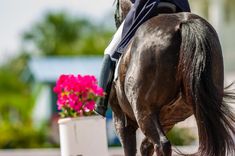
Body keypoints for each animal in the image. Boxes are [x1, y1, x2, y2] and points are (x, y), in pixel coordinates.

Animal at [109, 0, 235, 156]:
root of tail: (184, 23)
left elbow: (131, 148)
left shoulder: (121, 119)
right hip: (201, 109)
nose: (116, 20)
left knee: (162, 144)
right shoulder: (167, 119)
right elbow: (145, 146)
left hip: (144, 110)